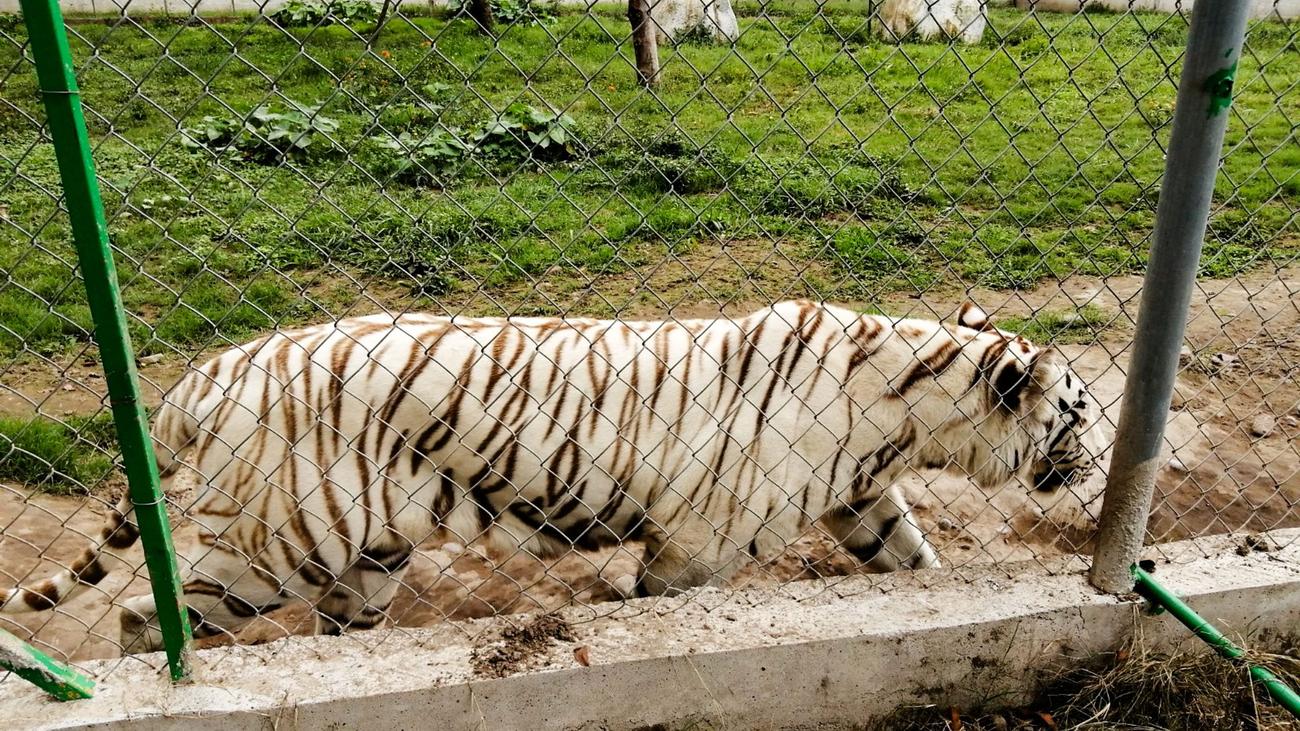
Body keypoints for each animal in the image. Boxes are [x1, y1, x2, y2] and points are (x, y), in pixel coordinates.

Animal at [2, 300, 1104, 653]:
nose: (1099, 459)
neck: (910, 412)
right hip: (280, 541)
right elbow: (659, 603)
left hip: (366, 555)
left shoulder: (861, 496)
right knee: (145, 616)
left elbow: (913, 562)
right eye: (1082, 409)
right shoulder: (697, 544)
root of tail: (208, 371)